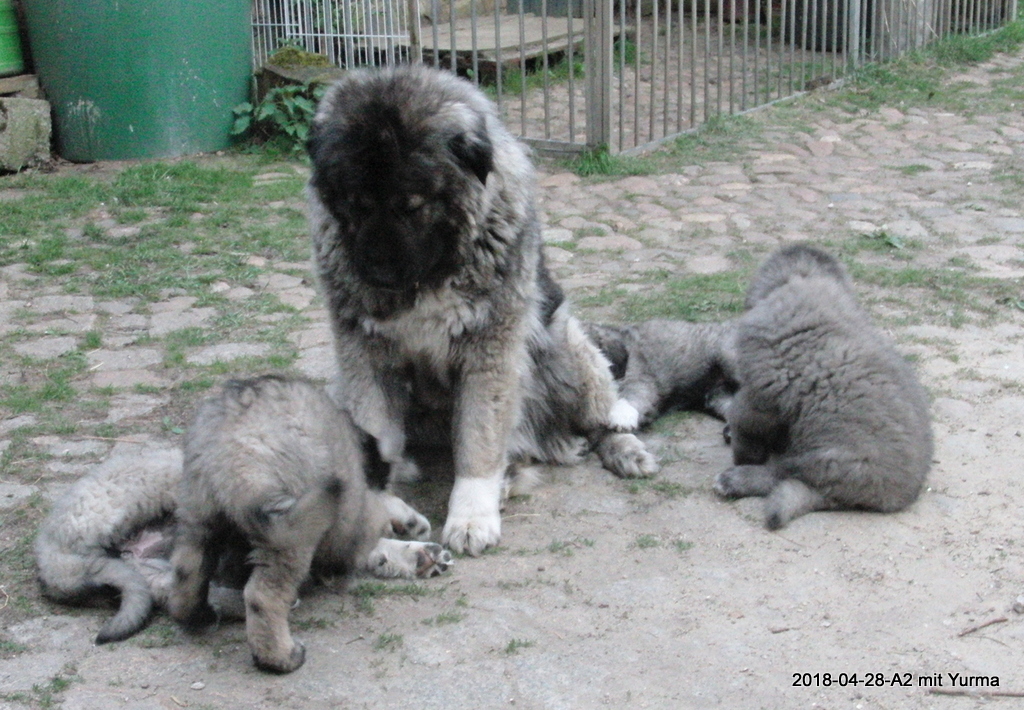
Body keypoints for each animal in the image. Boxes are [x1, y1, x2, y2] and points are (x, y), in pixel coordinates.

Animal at [167, 375, 453, 673]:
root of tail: (229, 454)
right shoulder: (350, 509)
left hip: (198, 514)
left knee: (187, 570)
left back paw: (197, 615)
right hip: (292, 532)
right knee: (263, 596)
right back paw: (281, 657)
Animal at [306, 64, 657, 557]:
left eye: (412, 206)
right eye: (356, 204)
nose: (376, 274)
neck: (433, 274)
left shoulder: (489, 350)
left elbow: (478, 440)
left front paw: (471, 516)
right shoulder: (365, 357)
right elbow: (374, 432)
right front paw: (381, 510)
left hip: (564, 348)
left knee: (602, 418)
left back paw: (623, 451)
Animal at [714, 244, 933, 529]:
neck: (806, 281)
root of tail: (898, 498)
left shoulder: (759, 394)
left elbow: (745, 425)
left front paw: (741, 454)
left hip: (826, 458)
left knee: (779, 474)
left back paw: (735, 479)